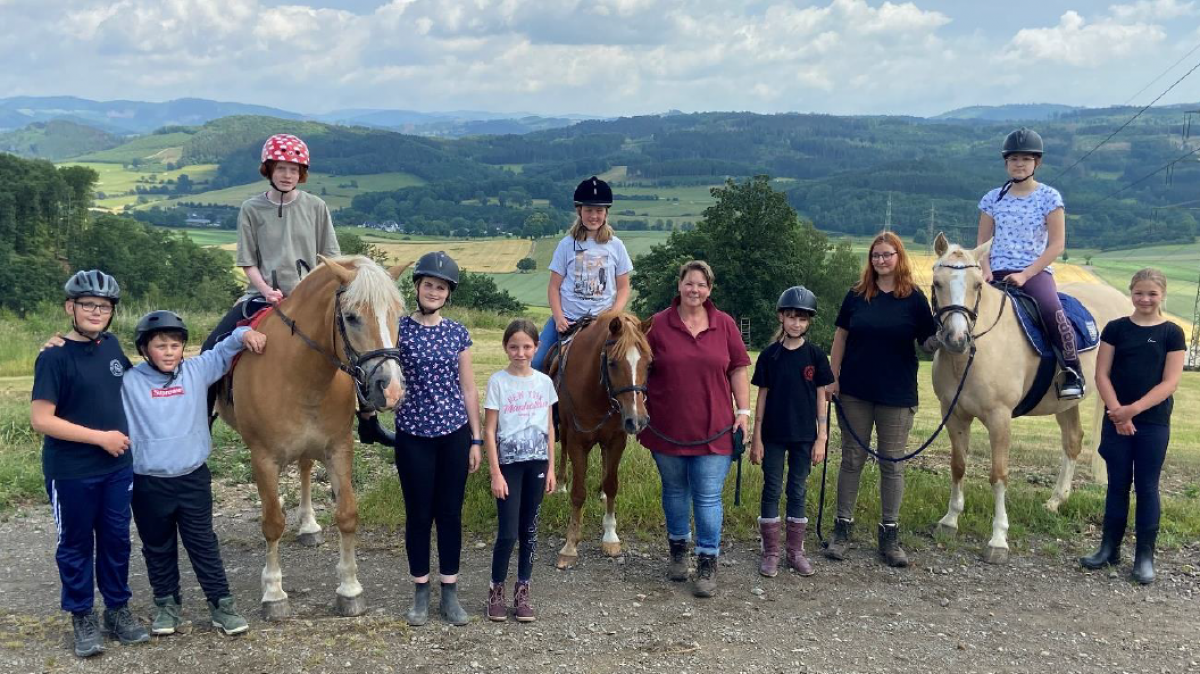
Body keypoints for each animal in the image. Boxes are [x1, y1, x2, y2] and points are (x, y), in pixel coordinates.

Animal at [216, 255, 408, 619]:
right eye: (351, 316)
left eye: (397, 314)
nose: (391, 390)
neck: (300, 373)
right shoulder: (263, 457)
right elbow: (272, 523)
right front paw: (274, 593)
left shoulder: (339, 448)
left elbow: (347, 514)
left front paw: (350, 588)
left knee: (305, 467)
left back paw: (308, 525)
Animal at [550, 311, 652, 569]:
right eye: (613, 363)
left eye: (649, 363)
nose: (638, 420)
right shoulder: (577, 441)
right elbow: (578, 493)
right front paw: (570, 545)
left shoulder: (617, 440)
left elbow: (612, 484)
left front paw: (610, 536)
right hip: (564, 428)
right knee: (563, 449)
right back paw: (561, 484)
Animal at [928, 233, 1127, 563]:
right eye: (937, 283)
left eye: (977, 285)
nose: (957, 339)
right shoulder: (954, 414)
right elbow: (958, 465)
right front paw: (950, 521)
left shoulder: (1000, 418)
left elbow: (998, 475)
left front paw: (998, 539)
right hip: (1065, 403)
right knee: (1073, 441)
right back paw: (1055, 502)